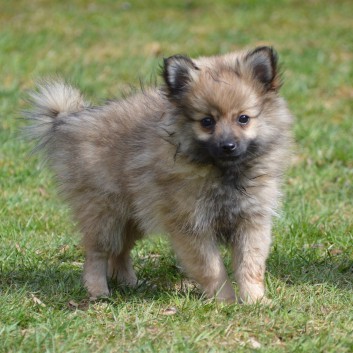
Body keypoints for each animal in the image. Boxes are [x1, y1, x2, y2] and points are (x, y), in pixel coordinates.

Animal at [25, 45, 292, 302]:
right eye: (207, 121)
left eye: (243, 118)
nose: (228, 146)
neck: (223, 173)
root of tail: (71, 120)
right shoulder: (192, 226)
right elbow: (212, 269)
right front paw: (224, 301)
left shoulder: (252, 221)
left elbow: (250, 266)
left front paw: (255, 301)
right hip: (105, 214)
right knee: (97, 253)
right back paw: (98, 292)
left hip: (134, 216)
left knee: (120, 252)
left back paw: (130, 284)